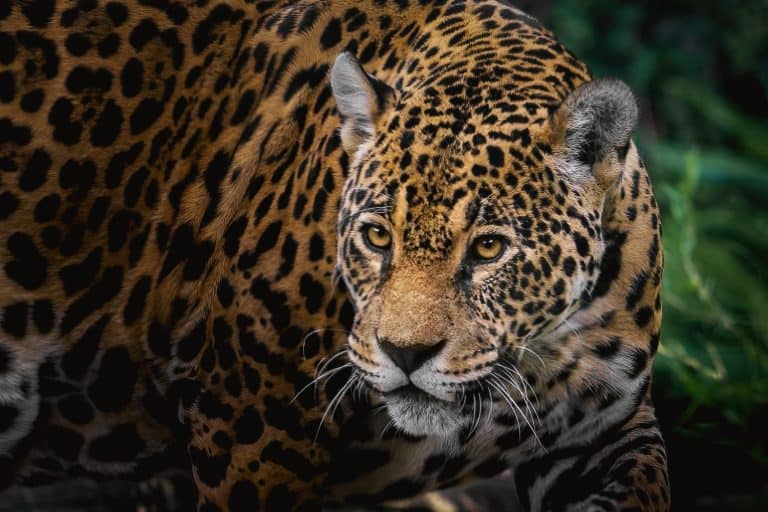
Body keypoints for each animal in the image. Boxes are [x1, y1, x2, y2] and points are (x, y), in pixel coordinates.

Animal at [0, 0, 669, 510]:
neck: (539, 350)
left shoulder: (605, 433)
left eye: (488, 248)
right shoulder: (252, 425)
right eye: (377, 237)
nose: (405, 354)